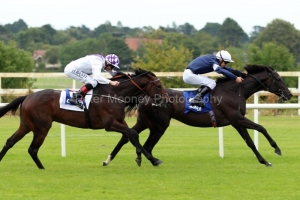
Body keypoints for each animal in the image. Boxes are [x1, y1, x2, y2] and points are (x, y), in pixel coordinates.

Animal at [0, 68, 169, 169]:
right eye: (159, 86)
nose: (166, 100)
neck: (114, 94)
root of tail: (27, 97)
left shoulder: (120, 122)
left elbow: (130, 136)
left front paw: (146, 158)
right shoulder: (110, 124)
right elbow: (133, 134)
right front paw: (148, 159)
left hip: (26, 125)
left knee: (10, 142)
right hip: (41, 128)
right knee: (32, 149)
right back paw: (42, 168)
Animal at [103, 64, 292, 167]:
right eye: (278, 79)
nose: (289, 94)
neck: (235, 91)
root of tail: (145, 97)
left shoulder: (236, 122)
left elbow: (250, 142)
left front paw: (264, 161)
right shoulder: (237, 119)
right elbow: (261, 127)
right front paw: (276, 149)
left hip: (144, 122)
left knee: (127, 136)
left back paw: (109, 160)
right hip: (159, 126)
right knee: (146, 145)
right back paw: (150, 160)